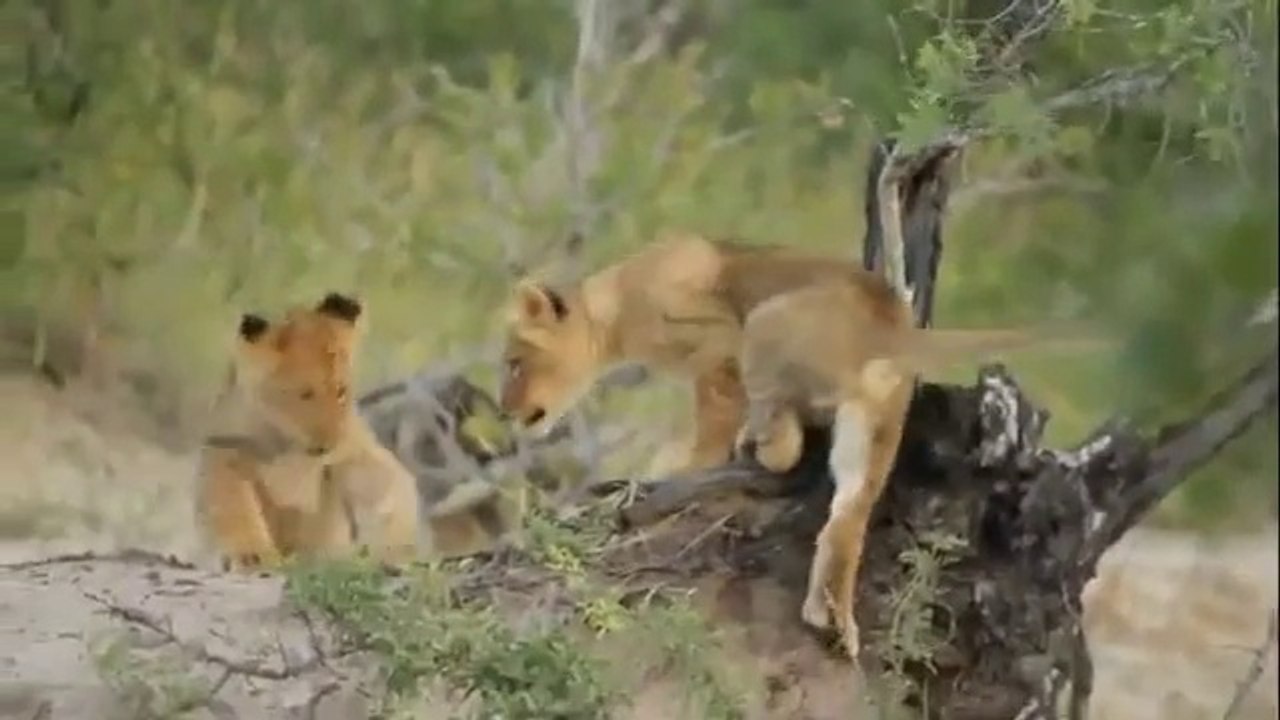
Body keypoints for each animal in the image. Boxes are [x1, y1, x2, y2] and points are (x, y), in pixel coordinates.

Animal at [195, 291, 421, 571]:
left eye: (340, 390)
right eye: (305, 394)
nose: (331, 441)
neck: (292, 447)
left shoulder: (354, 457)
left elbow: (389, 488)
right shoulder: (223, 449)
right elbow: (233, 503)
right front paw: (254, 557)